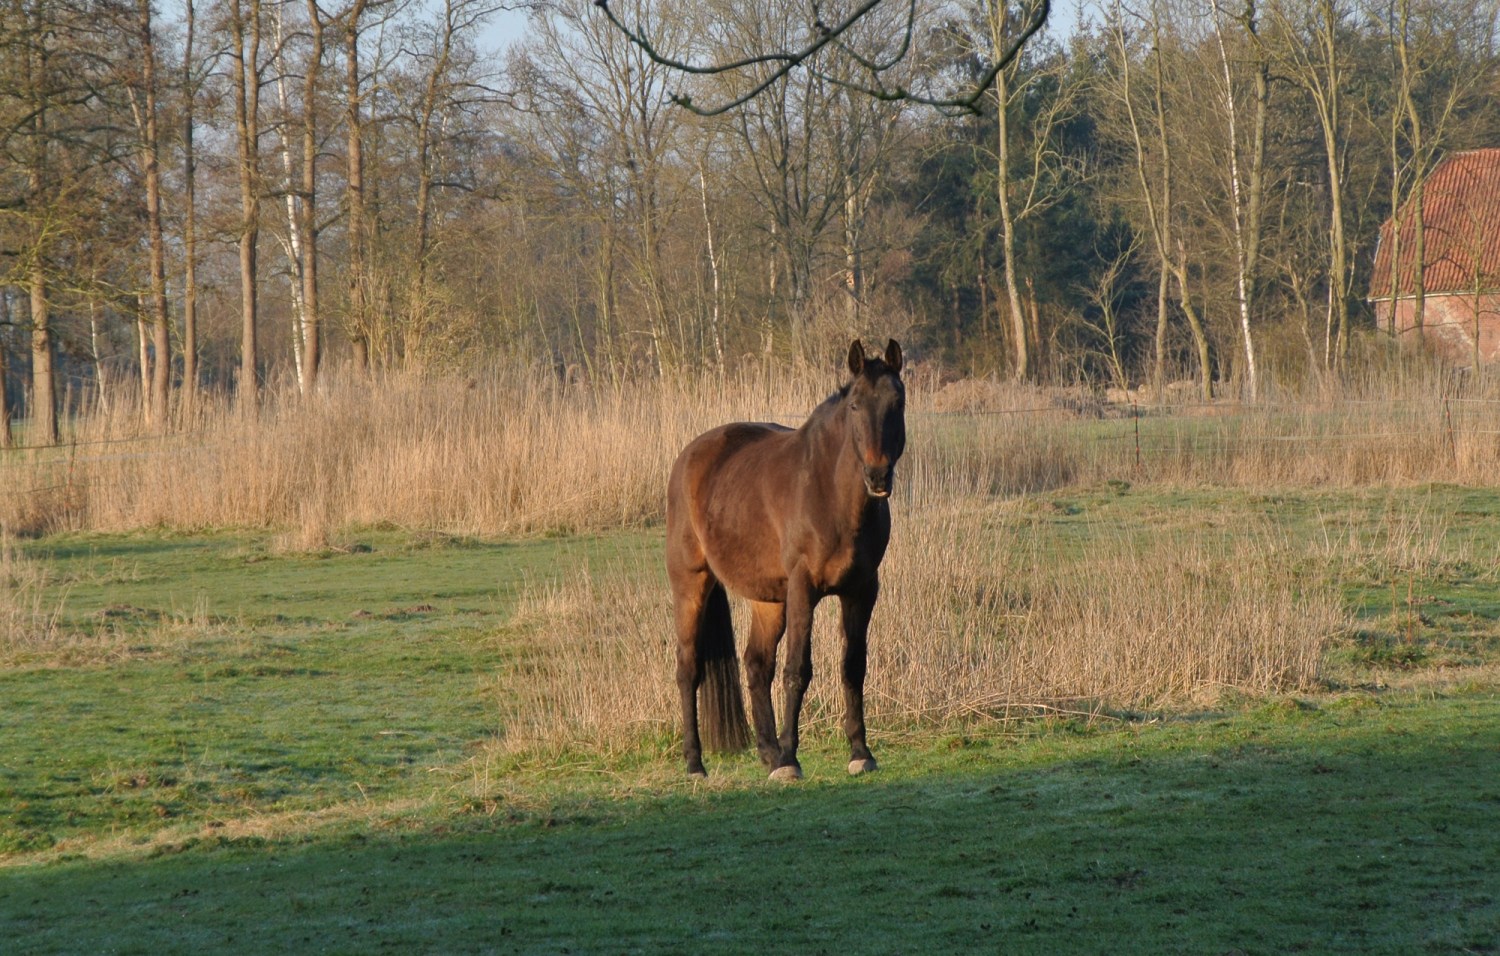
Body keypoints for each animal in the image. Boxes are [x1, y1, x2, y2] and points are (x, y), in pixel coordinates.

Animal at [665, 339, 906, 780]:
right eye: (855, 405)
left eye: (897, 402)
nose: (878, 475)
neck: (829, 493)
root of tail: (690, 456)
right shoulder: (803, 588)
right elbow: (798, 670)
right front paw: (793, 757)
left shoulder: (862, 590)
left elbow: (853, 666)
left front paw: (860, 752)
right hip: (692, 583)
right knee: (688, 668)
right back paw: (695, 763)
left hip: (769, 602)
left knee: (756, 665)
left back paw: (769, 753)